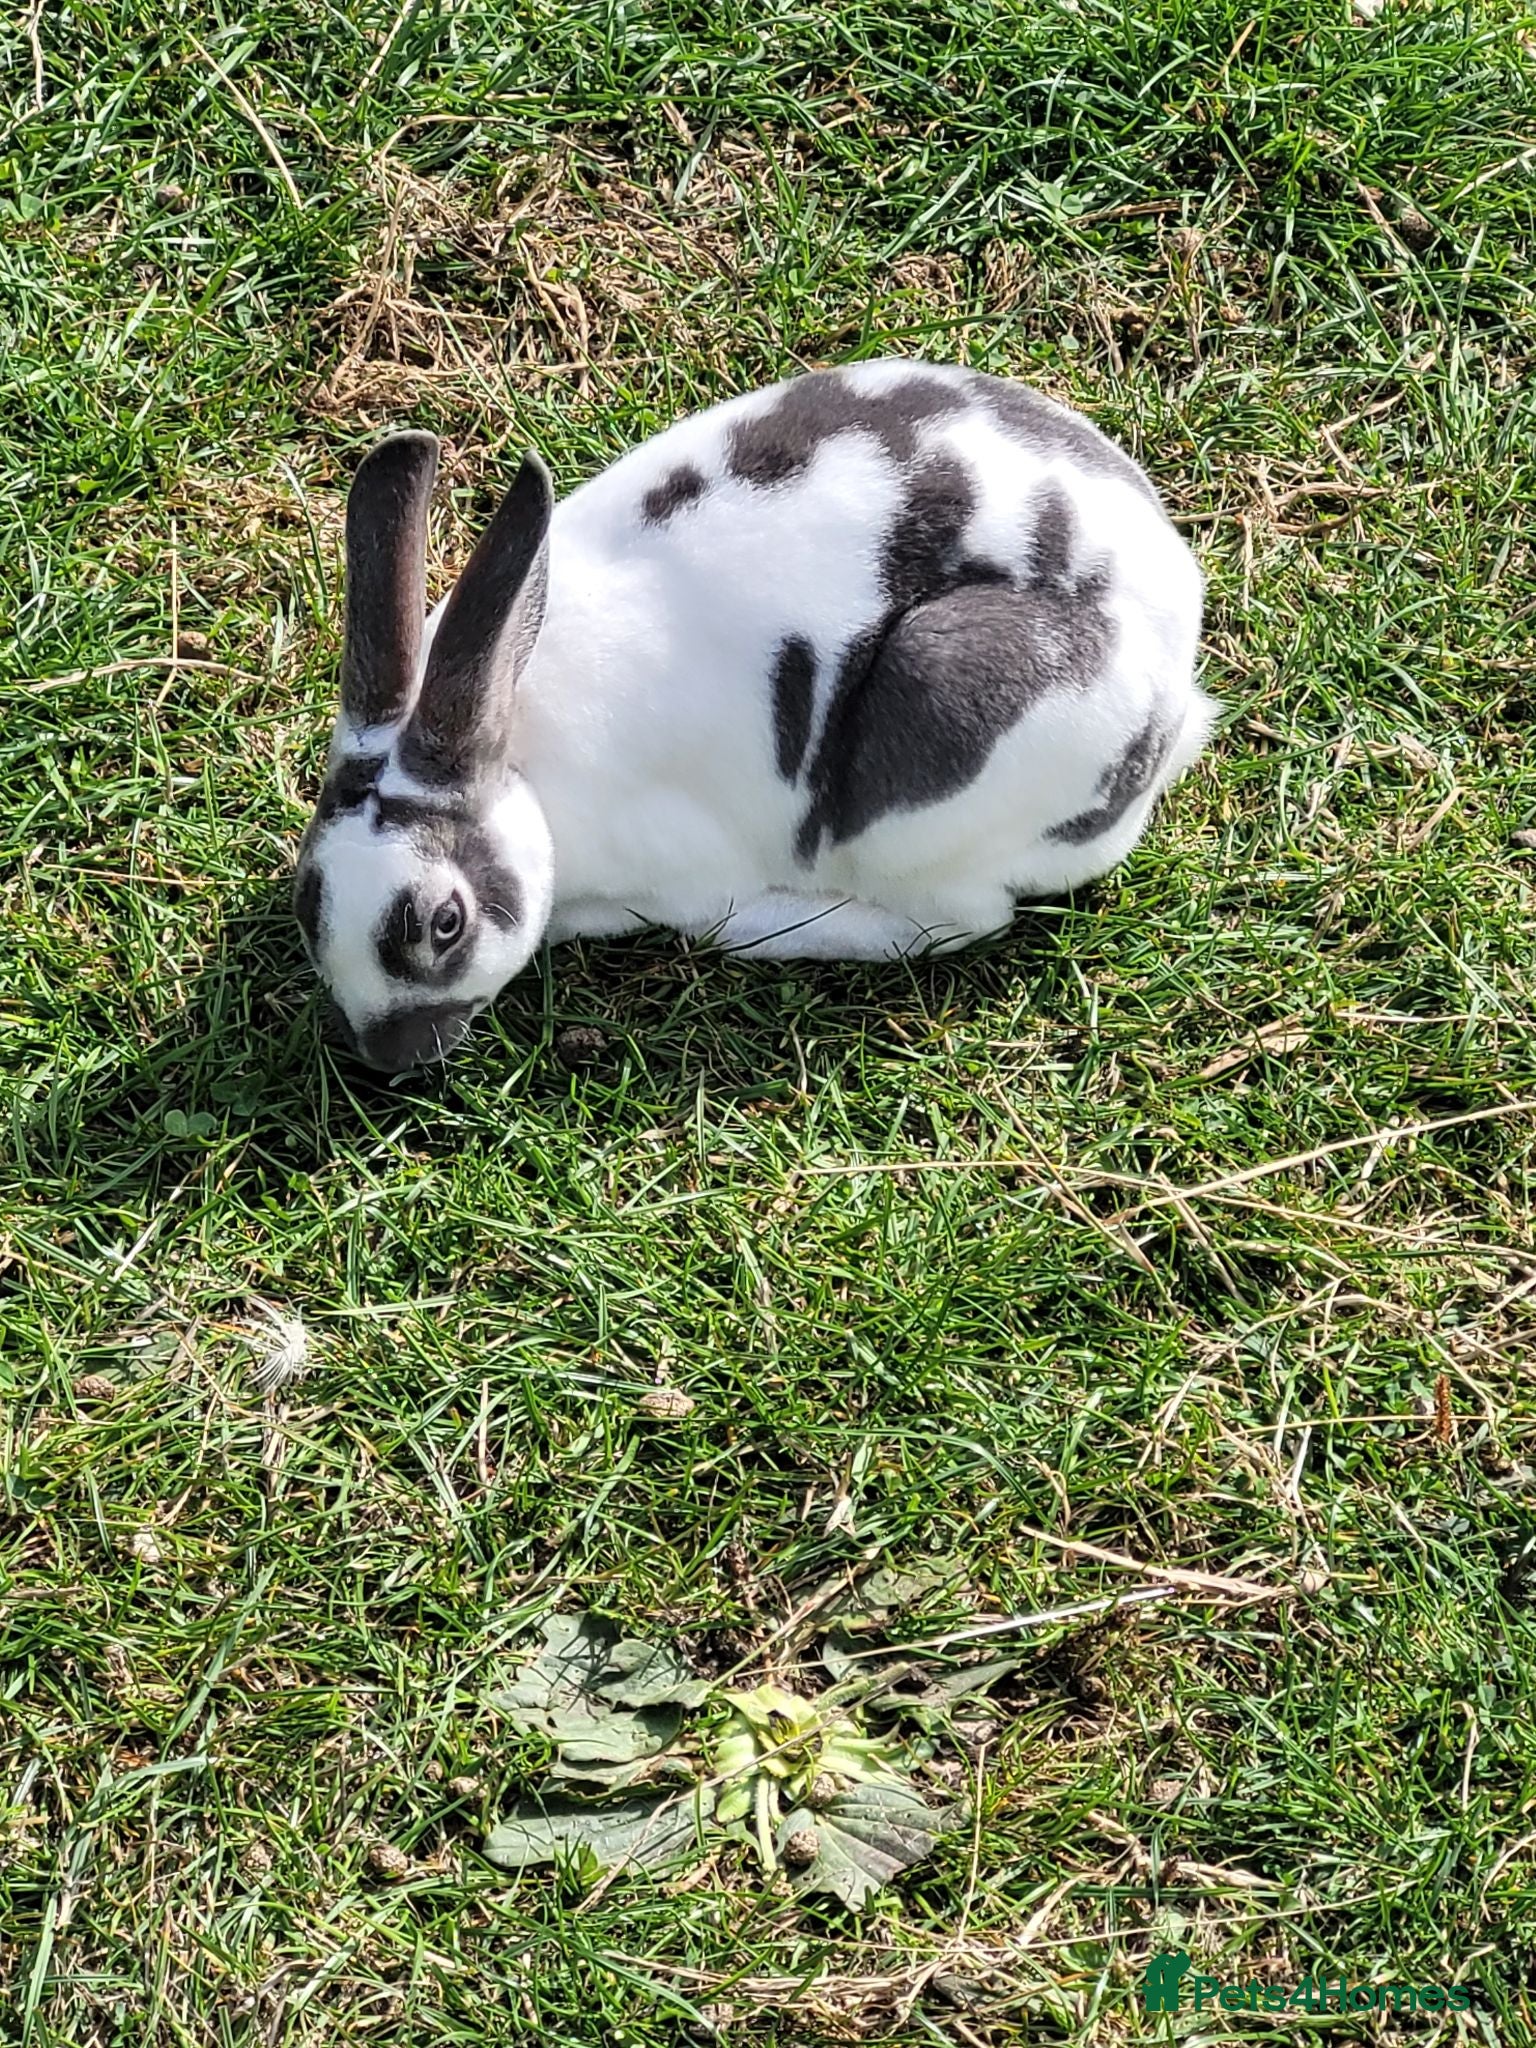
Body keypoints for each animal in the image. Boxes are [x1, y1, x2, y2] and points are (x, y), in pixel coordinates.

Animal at [293, 358, 1214, 1071]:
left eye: (444, 924)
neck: (521, 763)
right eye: (311, 903)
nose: (390, 1056)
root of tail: (1176, 703)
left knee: (962, 919)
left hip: (931, 768)